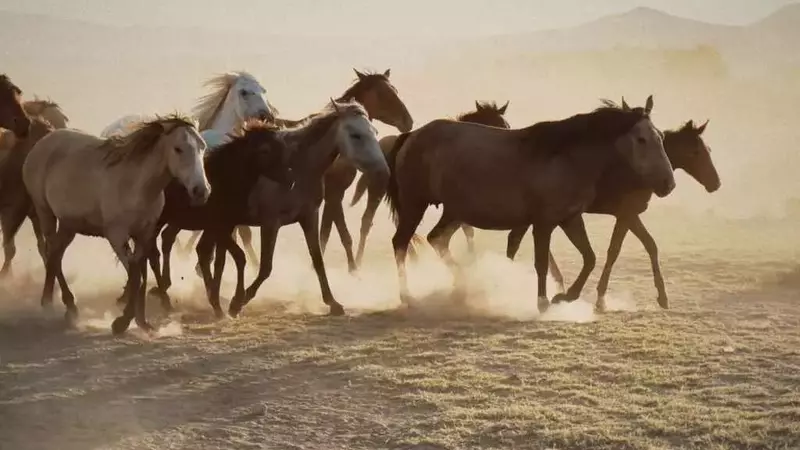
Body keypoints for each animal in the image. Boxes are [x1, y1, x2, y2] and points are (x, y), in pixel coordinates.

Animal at [22, 114, 210, 334]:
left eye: (202, 146)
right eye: (178, 149)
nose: (201, 191)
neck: (137, 186)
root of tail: (42, 143)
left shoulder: (144, 235)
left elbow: (141, 274)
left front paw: (142, 321)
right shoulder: (117, 236)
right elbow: (136, 277)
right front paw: (123, 321)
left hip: (69, 225)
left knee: (55, 256)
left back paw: (64, 306)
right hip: (45, 213)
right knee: (52, 256)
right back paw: (53, 305)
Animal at [138, 120, 294, 318]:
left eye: (282, 147)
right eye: (265, 150)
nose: (290, 178)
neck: (225, 180)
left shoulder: (225, 227)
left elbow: (217, 260)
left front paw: (218, 303)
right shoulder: (219, 227)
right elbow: (238, 257)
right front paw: (232, 302)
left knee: (160, 245)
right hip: (158, 221)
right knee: (152, 250)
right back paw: (160, 296)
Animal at [196, 99, 388, 318]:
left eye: (374, 132)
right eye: (356, 135)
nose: (383, 171)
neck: (297, 167)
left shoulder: (309, 217)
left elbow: (318, 260)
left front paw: (333, 303)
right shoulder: (270, 223)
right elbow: (266, 267)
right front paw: (239, 302)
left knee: (209, 255)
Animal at [385, 96, 675, 313]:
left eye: (661, 136)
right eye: (641, 139)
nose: (668, 184)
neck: (566, 158)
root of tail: (412, 136)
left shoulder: (570, 218)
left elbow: (590, 258)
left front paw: (565, 297)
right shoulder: (543, 223)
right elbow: (542, 262)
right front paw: (544, 302)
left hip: (453, 210)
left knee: (437, 239)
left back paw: (465, 287)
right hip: (415, 203)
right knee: (401, 242)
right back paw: (409, 296)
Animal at [505, 103, 721, 311]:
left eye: (708, 150)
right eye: (696, 152)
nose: (716, 184)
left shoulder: (629, 215)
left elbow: (648, 245)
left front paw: (662, 298)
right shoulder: (627, 214)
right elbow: (617, 250)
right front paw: (602, 299)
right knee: (516, 241)